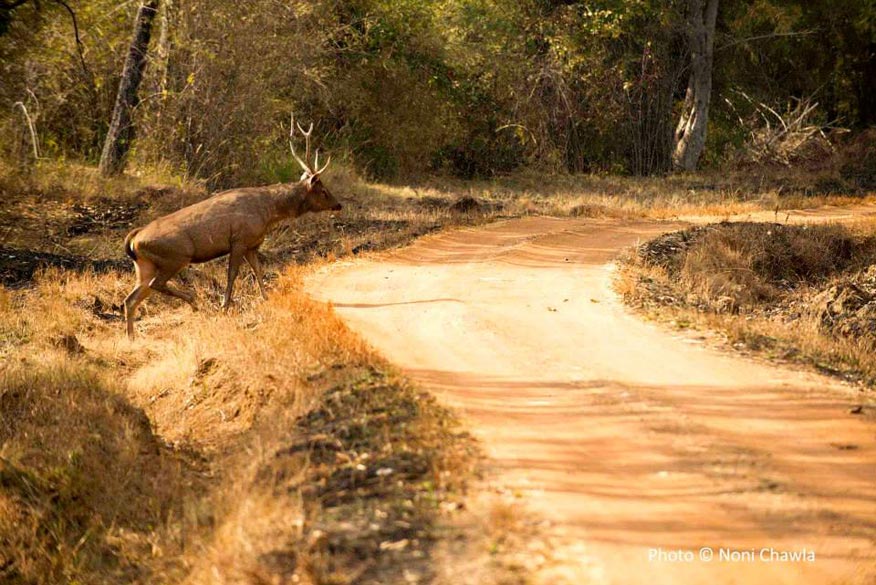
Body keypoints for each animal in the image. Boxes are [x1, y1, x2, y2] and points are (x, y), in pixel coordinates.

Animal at [121, 115, 340, 338]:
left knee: (131, 299)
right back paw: (193, 301)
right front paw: (224, 305)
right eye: (323, 191)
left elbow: (257, 271)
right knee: (155, 285)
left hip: (145, 265)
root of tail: (134, 240)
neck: (268, 211)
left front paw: (265, 297)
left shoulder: (252, 245)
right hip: (176, 256)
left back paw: (132, 337)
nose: (338, 204)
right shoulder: (239, 240)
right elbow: (232, 274)